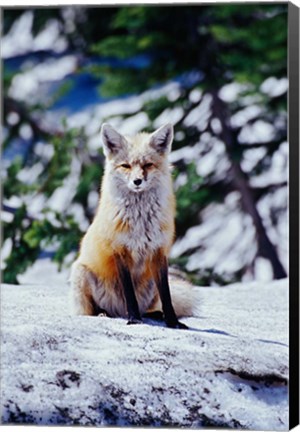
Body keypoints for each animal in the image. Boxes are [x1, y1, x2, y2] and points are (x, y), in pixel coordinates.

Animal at [70, 123, 197, 330]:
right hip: (81, 273)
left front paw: (172, 322)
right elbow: (129, 294)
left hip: (150, 284)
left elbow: (167, 296)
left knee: (150, 306)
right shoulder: (120, 251)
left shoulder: (159, 251)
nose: (137, 181)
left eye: (147, 165)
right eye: (126, 166)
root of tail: (118, 312)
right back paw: (104, 313)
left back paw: (155, 314)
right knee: (92, 310)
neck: (141, 221)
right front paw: (135, 320)